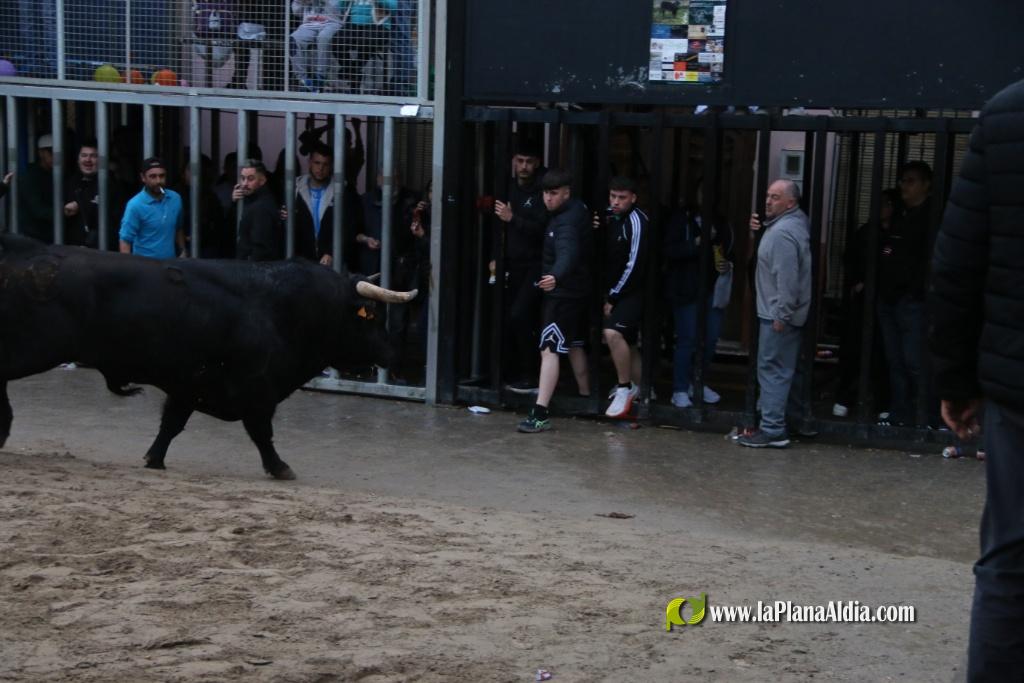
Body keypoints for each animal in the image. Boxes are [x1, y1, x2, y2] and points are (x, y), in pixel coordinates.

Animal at [0, 234, 416, 480]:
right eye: (371, 316)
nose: (394, 353)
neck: (284, 307)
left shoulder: (188, 385)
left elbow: (170, 425)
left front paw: (154, 459)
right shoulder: (257, 390)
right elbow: (262, 434)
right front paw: (280, 467)